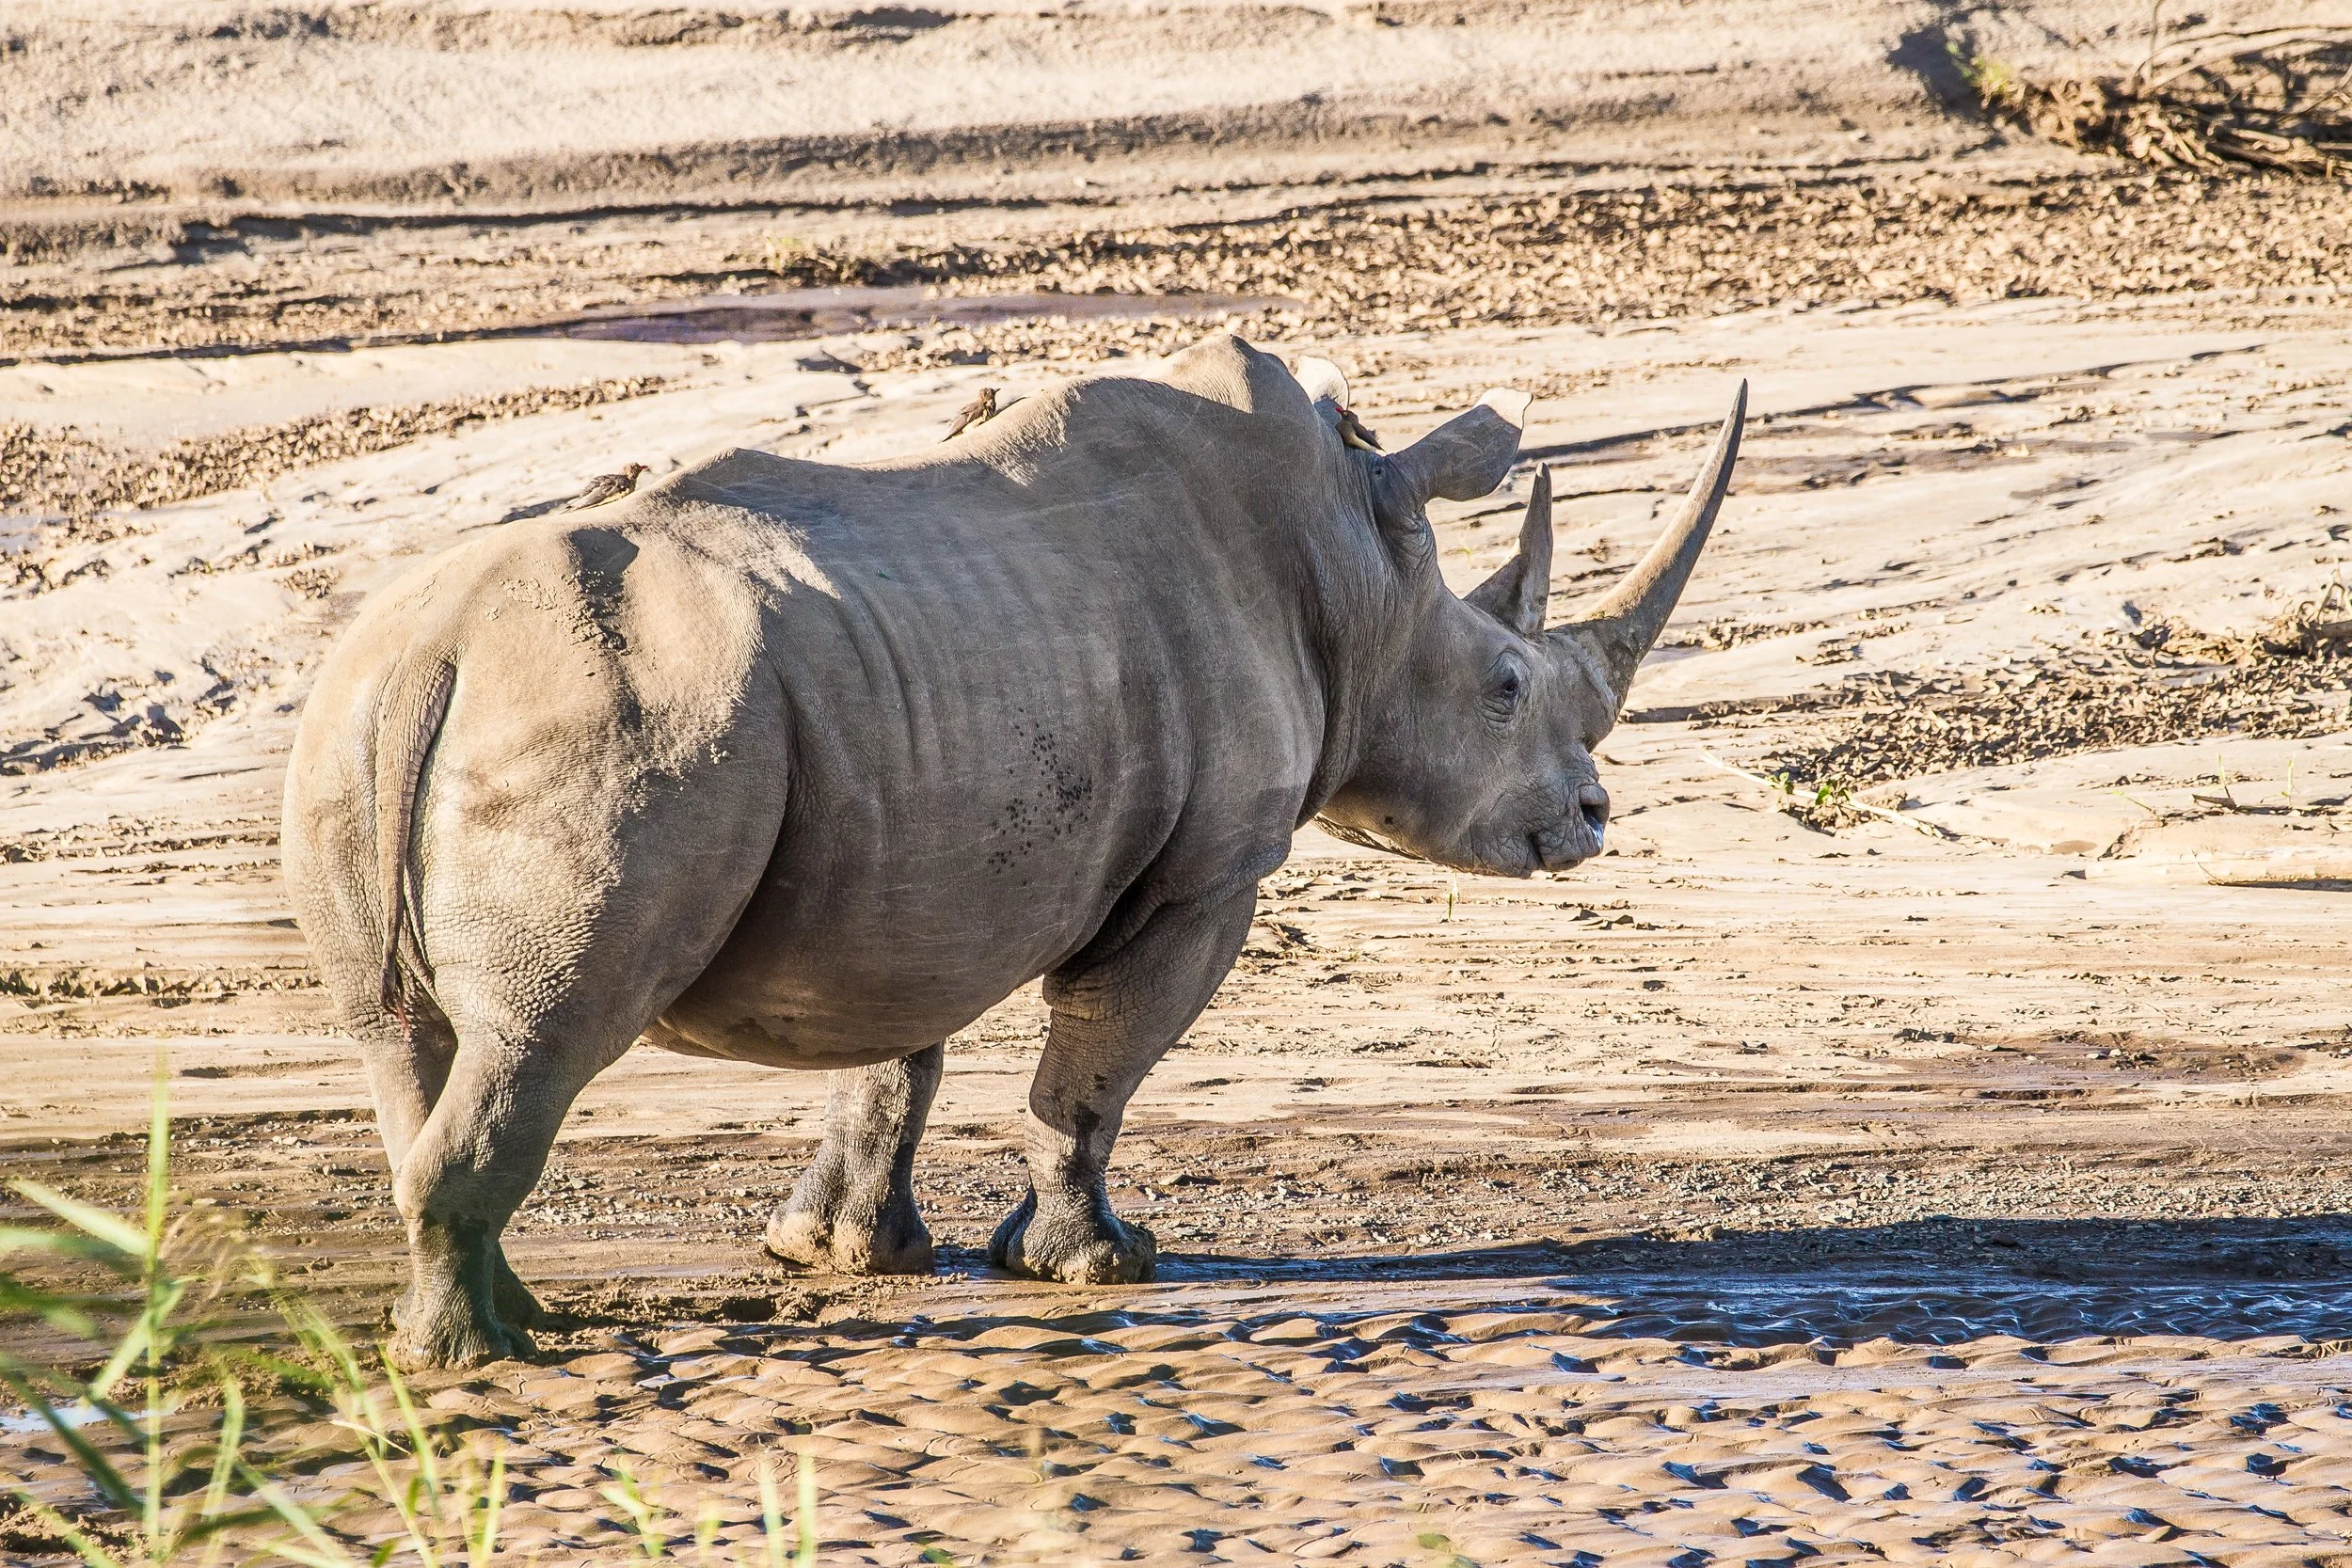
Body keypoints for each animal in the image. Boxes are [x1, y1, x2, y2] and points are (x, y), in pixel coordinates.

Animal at [281, 335, 1743, 1368]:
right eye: (1505, 686)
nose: (1593, 818)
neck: (1361, 574)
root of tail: (435, 650)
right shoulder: (1212, 866)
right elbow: (1098, 1061)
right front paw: (1098, 1266)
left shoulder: (902, 851)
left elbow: (889, 1060)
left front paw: (842, 1251)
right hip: (613, 720)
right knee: (542, 1034)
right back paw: (476, 1356)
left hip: (363, 710)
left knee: (402, 1034)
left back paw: (511, 1321)